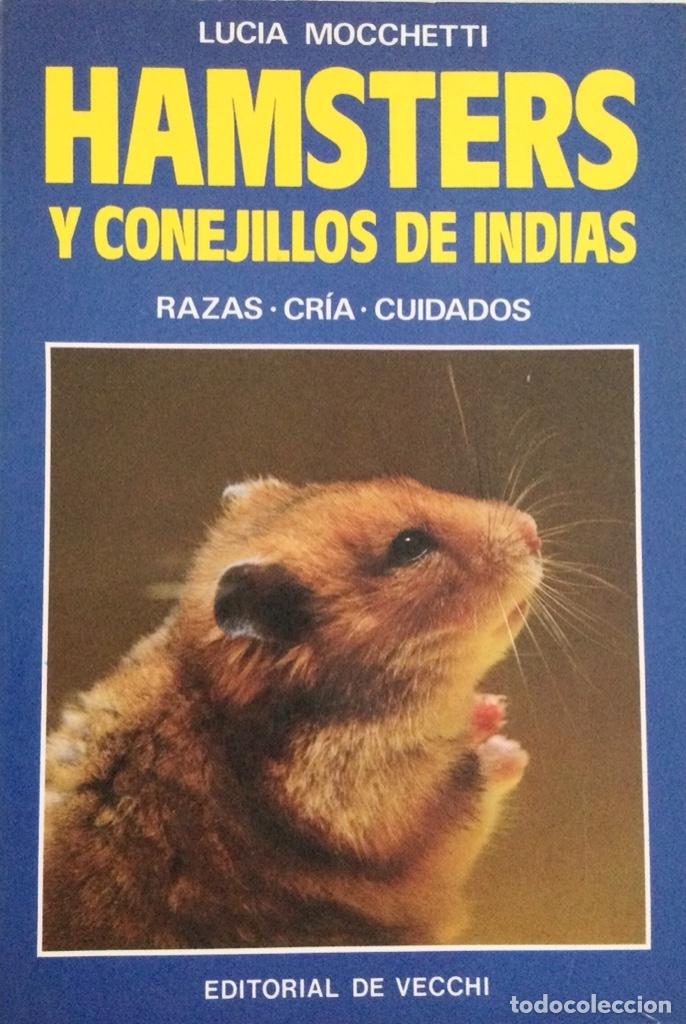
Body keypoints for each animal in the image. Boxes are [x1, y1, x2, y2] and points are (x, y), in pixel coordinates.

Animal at [42, 475, 542, 950]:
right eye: (408, 545)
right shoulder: (389, 817)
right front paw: (508, 745)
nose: (533, 531)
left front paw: (491, 711)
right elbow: (468, 789)